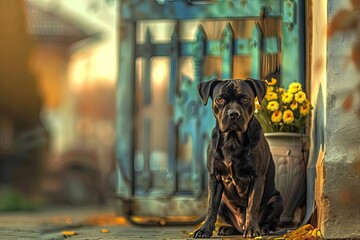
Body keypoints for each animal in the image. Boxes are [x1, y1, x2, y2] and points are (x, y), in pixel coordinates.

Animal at [193, 79, 282, 238]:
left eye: (245, 99)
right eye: (220, 99)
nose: (233, 114)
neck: (232, 141)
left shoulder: (257, 177)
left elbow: (252, 206)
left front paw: (252, 229)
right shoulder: (214, 178)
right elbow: (211, 208)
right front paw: (204, 230)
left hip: (277, 200)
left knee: (270, 221)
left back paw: (262, 228)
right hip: (223, 202)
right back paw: (226, 229)